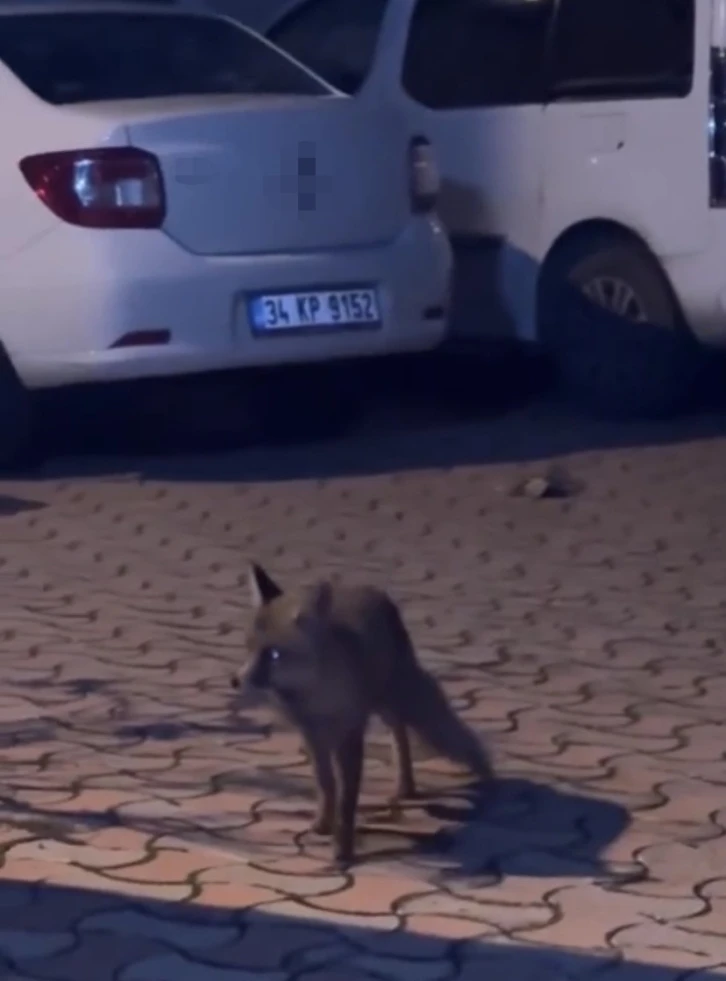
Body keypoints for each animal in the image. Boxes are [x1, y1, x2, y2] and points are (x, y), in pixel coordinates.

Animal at [233, 564, 494, 868]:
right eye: (248, 648)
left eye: (273, 654)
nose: (235, 681)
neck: (315, 698)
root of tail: (371, 590)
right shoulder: (313, 736)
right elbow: (326, 785)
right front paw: (323, 824)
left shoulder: (349, 735)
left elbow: (347, 801)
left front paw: (343, 850)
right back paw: (405, 787)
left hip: (394, 700)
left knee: (403, 733)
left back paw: (408, 785)